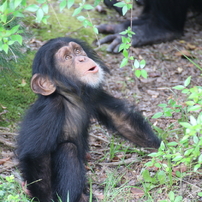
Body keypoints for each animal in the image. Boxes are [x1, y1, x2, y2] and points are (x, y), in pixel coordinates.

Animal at [16, 36, 160, 202]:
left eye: (77, 51)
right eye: (67, 57)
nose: (81, 58)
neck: (70, 97)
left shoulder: (93, 94)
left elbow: (119, 119)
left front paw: (163, 150)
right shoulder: (50, 110)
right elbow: (37, 156)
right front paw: (45, 197)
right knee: (68, 149)